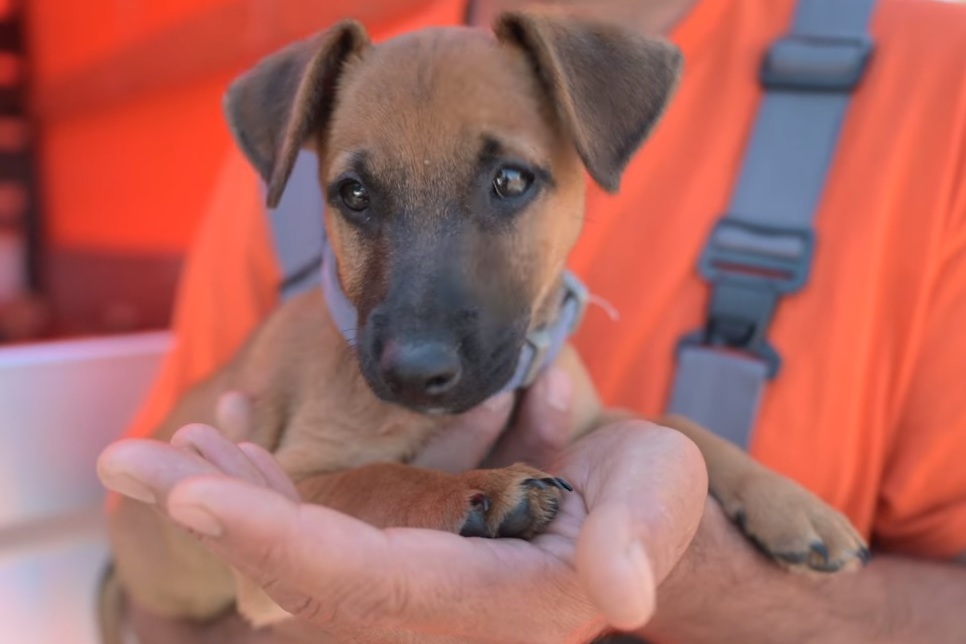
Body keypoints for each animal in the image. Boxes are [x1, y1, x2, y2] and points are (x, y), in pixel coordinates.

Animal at [102, 10, 872, 640]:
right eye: (352, 194)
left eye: (511, 180)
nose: (414, 371)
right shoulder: (294, 478)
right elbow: (379, 478)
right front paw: (476, 490)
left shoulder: (582, 414)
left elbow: (675, 425)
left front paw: (791, 504)